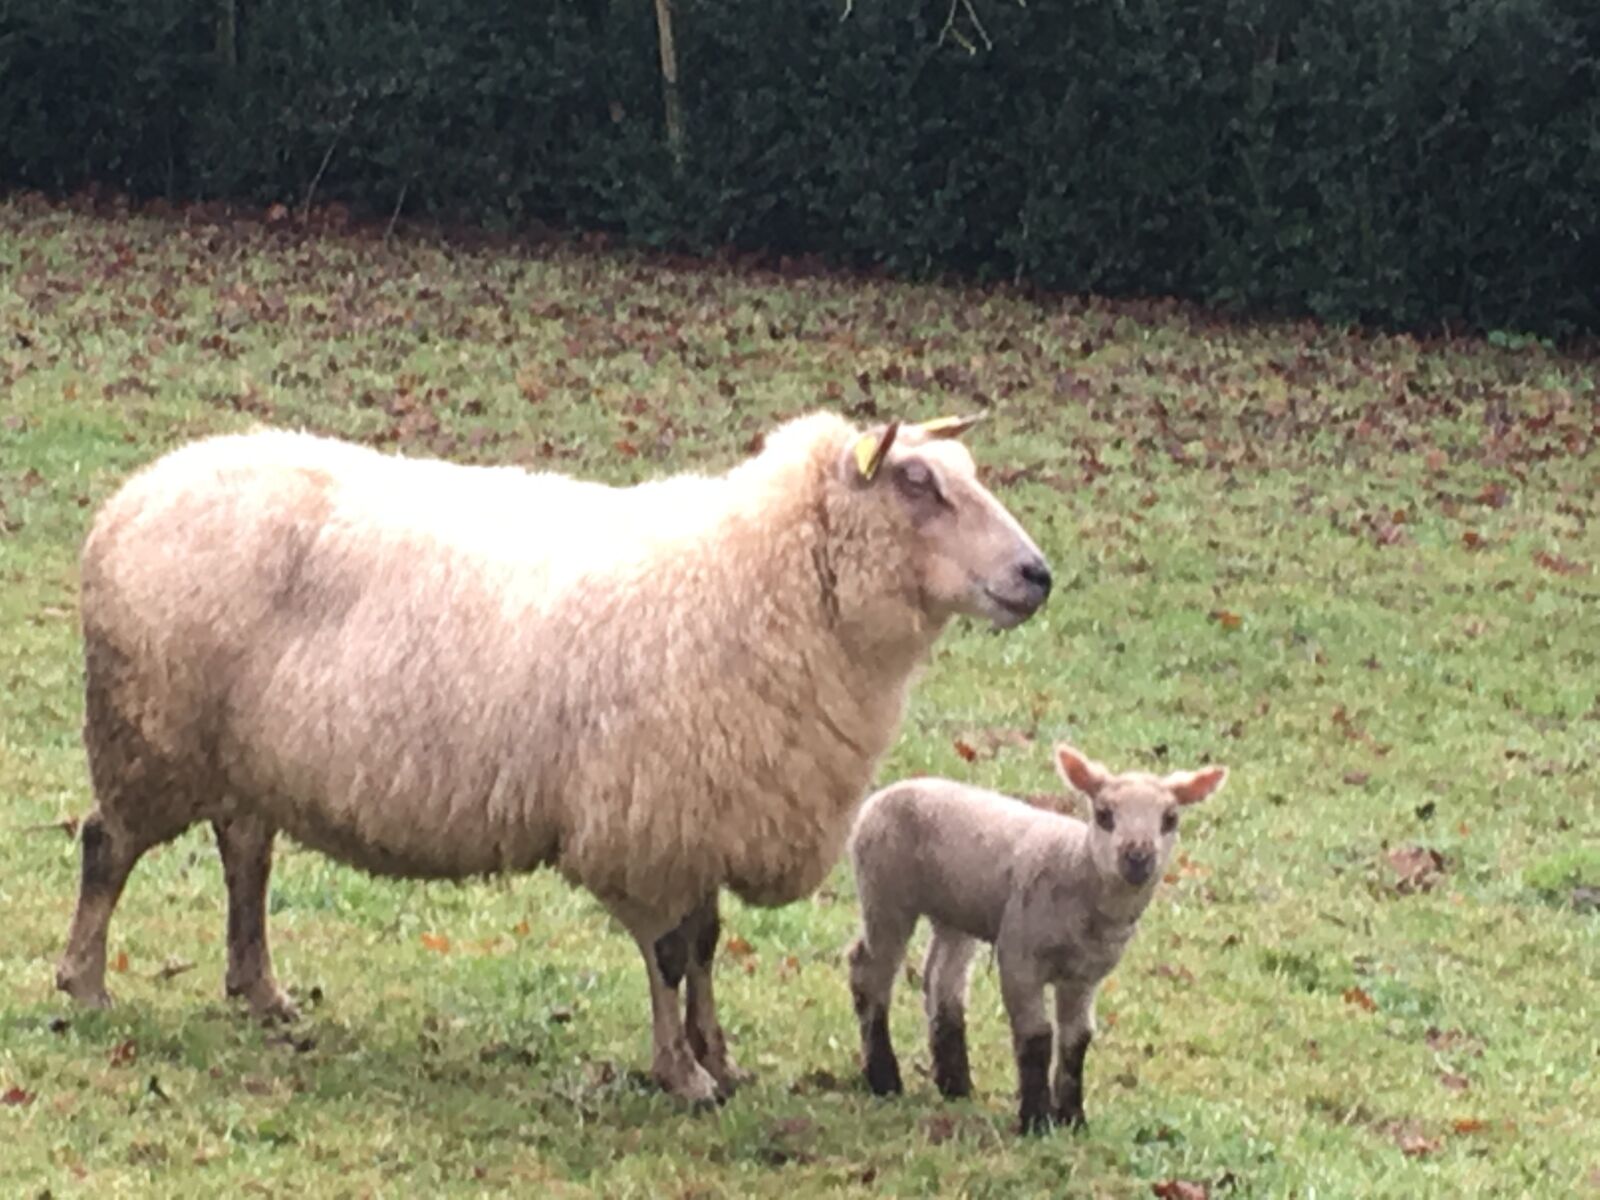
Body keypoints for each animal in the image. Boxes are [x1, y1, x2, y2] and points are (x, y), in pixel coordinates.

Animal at [53, 409, 1052, 1105]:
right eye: (916, 482)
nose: (1037, 575)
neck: (763, 576)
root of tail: (129, 498)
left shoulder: (700, 811)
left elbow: (706, 948)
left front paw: (718, 1058)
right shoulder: (649, 820)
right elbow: (670, 954)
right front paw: (682, 1075)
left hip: (241, 757)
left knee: (245, 858)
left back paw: (259, 990)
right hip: (151, 734)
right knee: (107, 846)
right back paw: (84, 985)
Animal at [846, 744, 1226, 1132]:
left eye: (1170, 819)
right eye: (1104, 815)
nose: (1138, 858)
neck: (1077, 868)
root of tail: (882, 795)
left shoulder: (1086, 975)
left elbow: (1077, 1040)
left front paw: (1073, 1118)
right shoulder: (1019, 955)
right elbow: (1037, 1036)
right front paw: (1037, 1119)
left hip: (954, 910)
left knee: (941, 981)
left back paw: (956, 1084)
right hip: (884, 887)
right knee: (869, 972)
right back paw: (884, 1077)